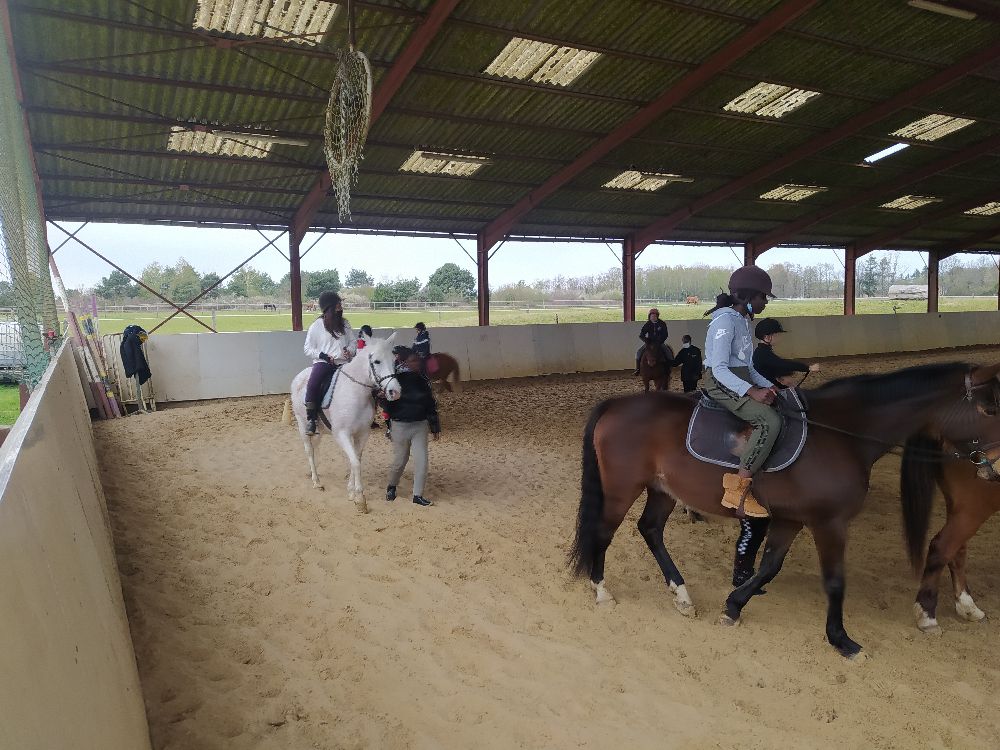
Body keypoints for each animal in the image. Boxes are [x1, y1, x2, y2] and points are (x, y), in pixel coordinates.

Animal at [288, 334, 400, 516]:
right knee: (309, 450)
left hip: (319, 430)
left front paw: (351, 492)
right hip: (302, 424)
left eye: (394, 360)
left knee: (315, 448)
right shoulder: (342, 434)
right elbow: (355, 462)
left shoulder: (362, 434)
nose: (395, 392)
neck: (356, 393)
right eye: (376, 361)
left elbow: (356, 459)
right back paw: (316, 482)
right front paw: (360, 499)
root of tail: (299, 377)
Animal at [900, 428, 1000, 636]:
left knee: (956, 551)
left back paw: (967, 606)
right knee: (941, 548)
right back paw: (927, 615)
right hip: (973, 508)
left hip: (961, 508)